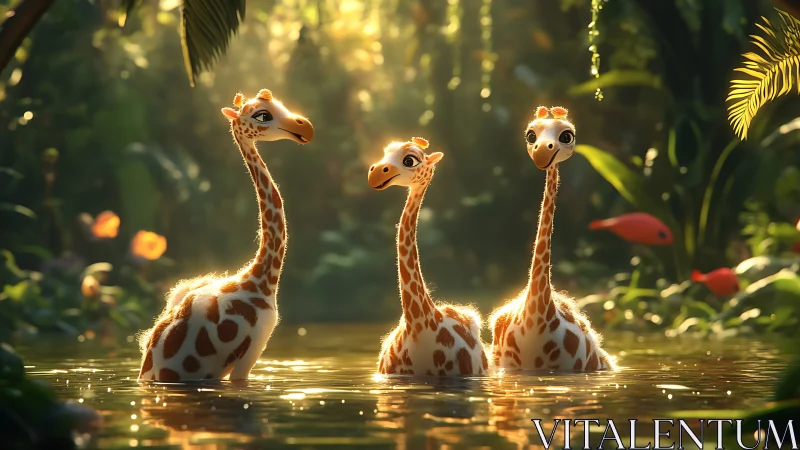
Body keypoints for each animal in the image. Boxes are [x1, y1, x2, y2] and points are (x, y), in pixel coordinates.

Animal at [137, 89, 314, 382]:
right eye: (263, 116)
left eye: (281, 104)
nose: (305, 127)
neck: (262, 279)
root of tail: (147, 373)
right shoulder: (252, 349)